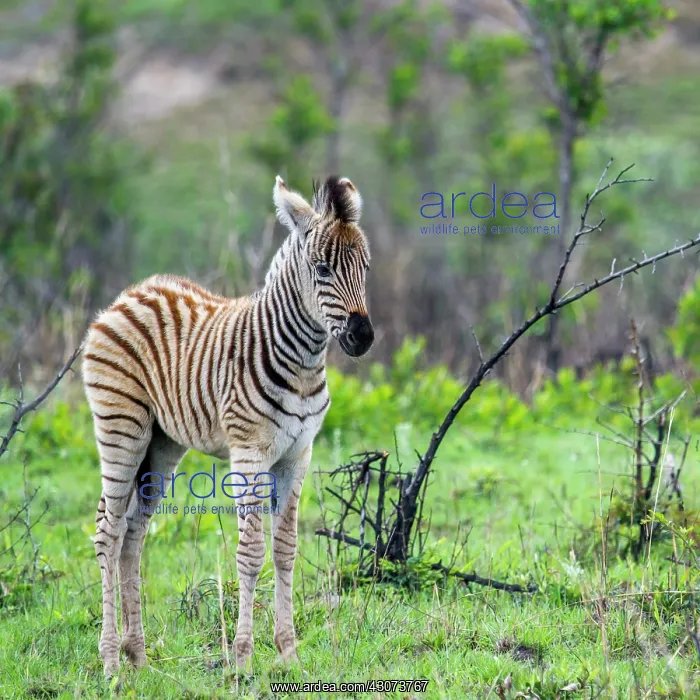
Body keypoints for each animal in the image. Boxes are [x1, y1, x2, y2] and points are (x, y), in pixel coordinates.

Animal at [82, 175, 374, 677]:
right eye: (321, 270)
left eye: (366, 268)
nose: (363, 337)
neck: (302, 363)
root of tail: (130, 294)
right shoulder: (250, 453)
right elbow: (251, 553)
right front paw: (242, 658)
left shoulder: (298, 455)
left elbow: (286, 549)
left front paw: (289, 653)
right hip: (121, 428)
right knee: (108, 530)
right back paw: (111, 662)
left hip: (161, 445)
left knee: (132, 537)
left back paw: (138, 656)